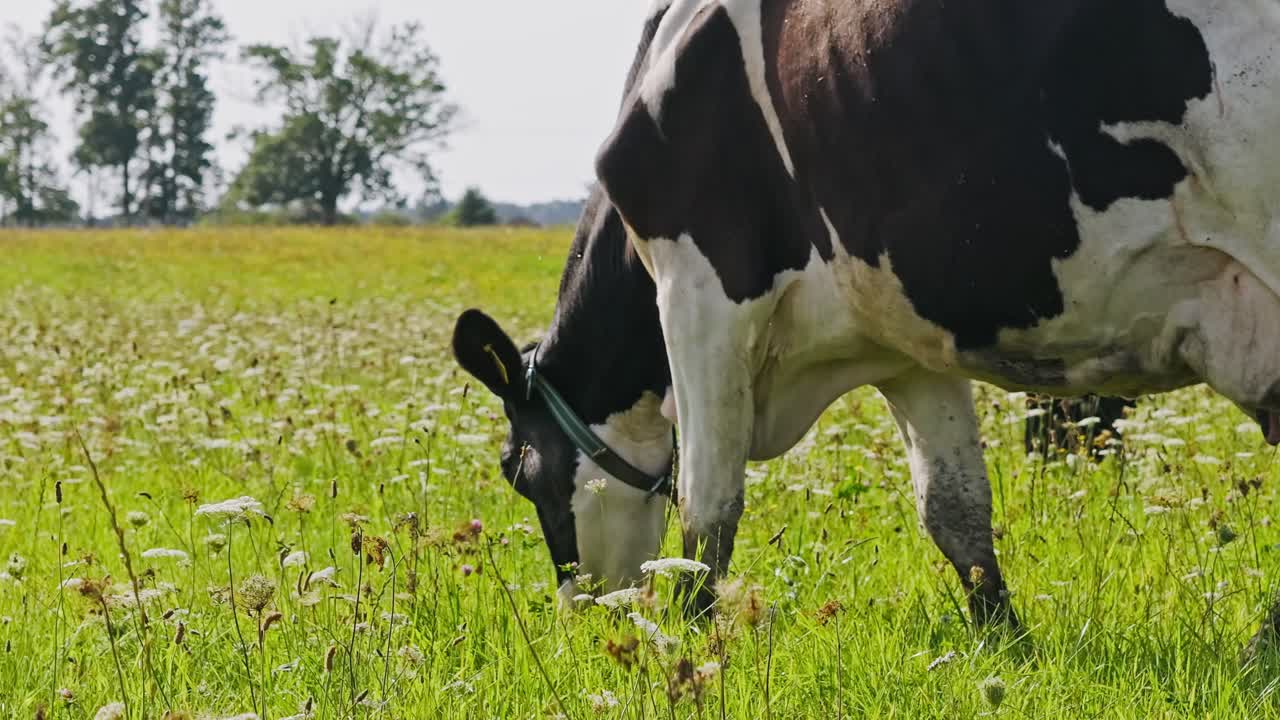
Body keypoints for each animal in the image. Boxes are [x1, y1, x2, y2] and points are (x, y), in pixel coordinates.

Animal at [454, 0, 1280, 635]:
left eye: (518, 471)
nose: (587, 621)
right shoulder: (911, 345)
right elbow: (955, 511)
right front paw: (1004, 645)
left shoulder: (700, 294)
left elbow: (706, 507)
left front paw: (688, 647)